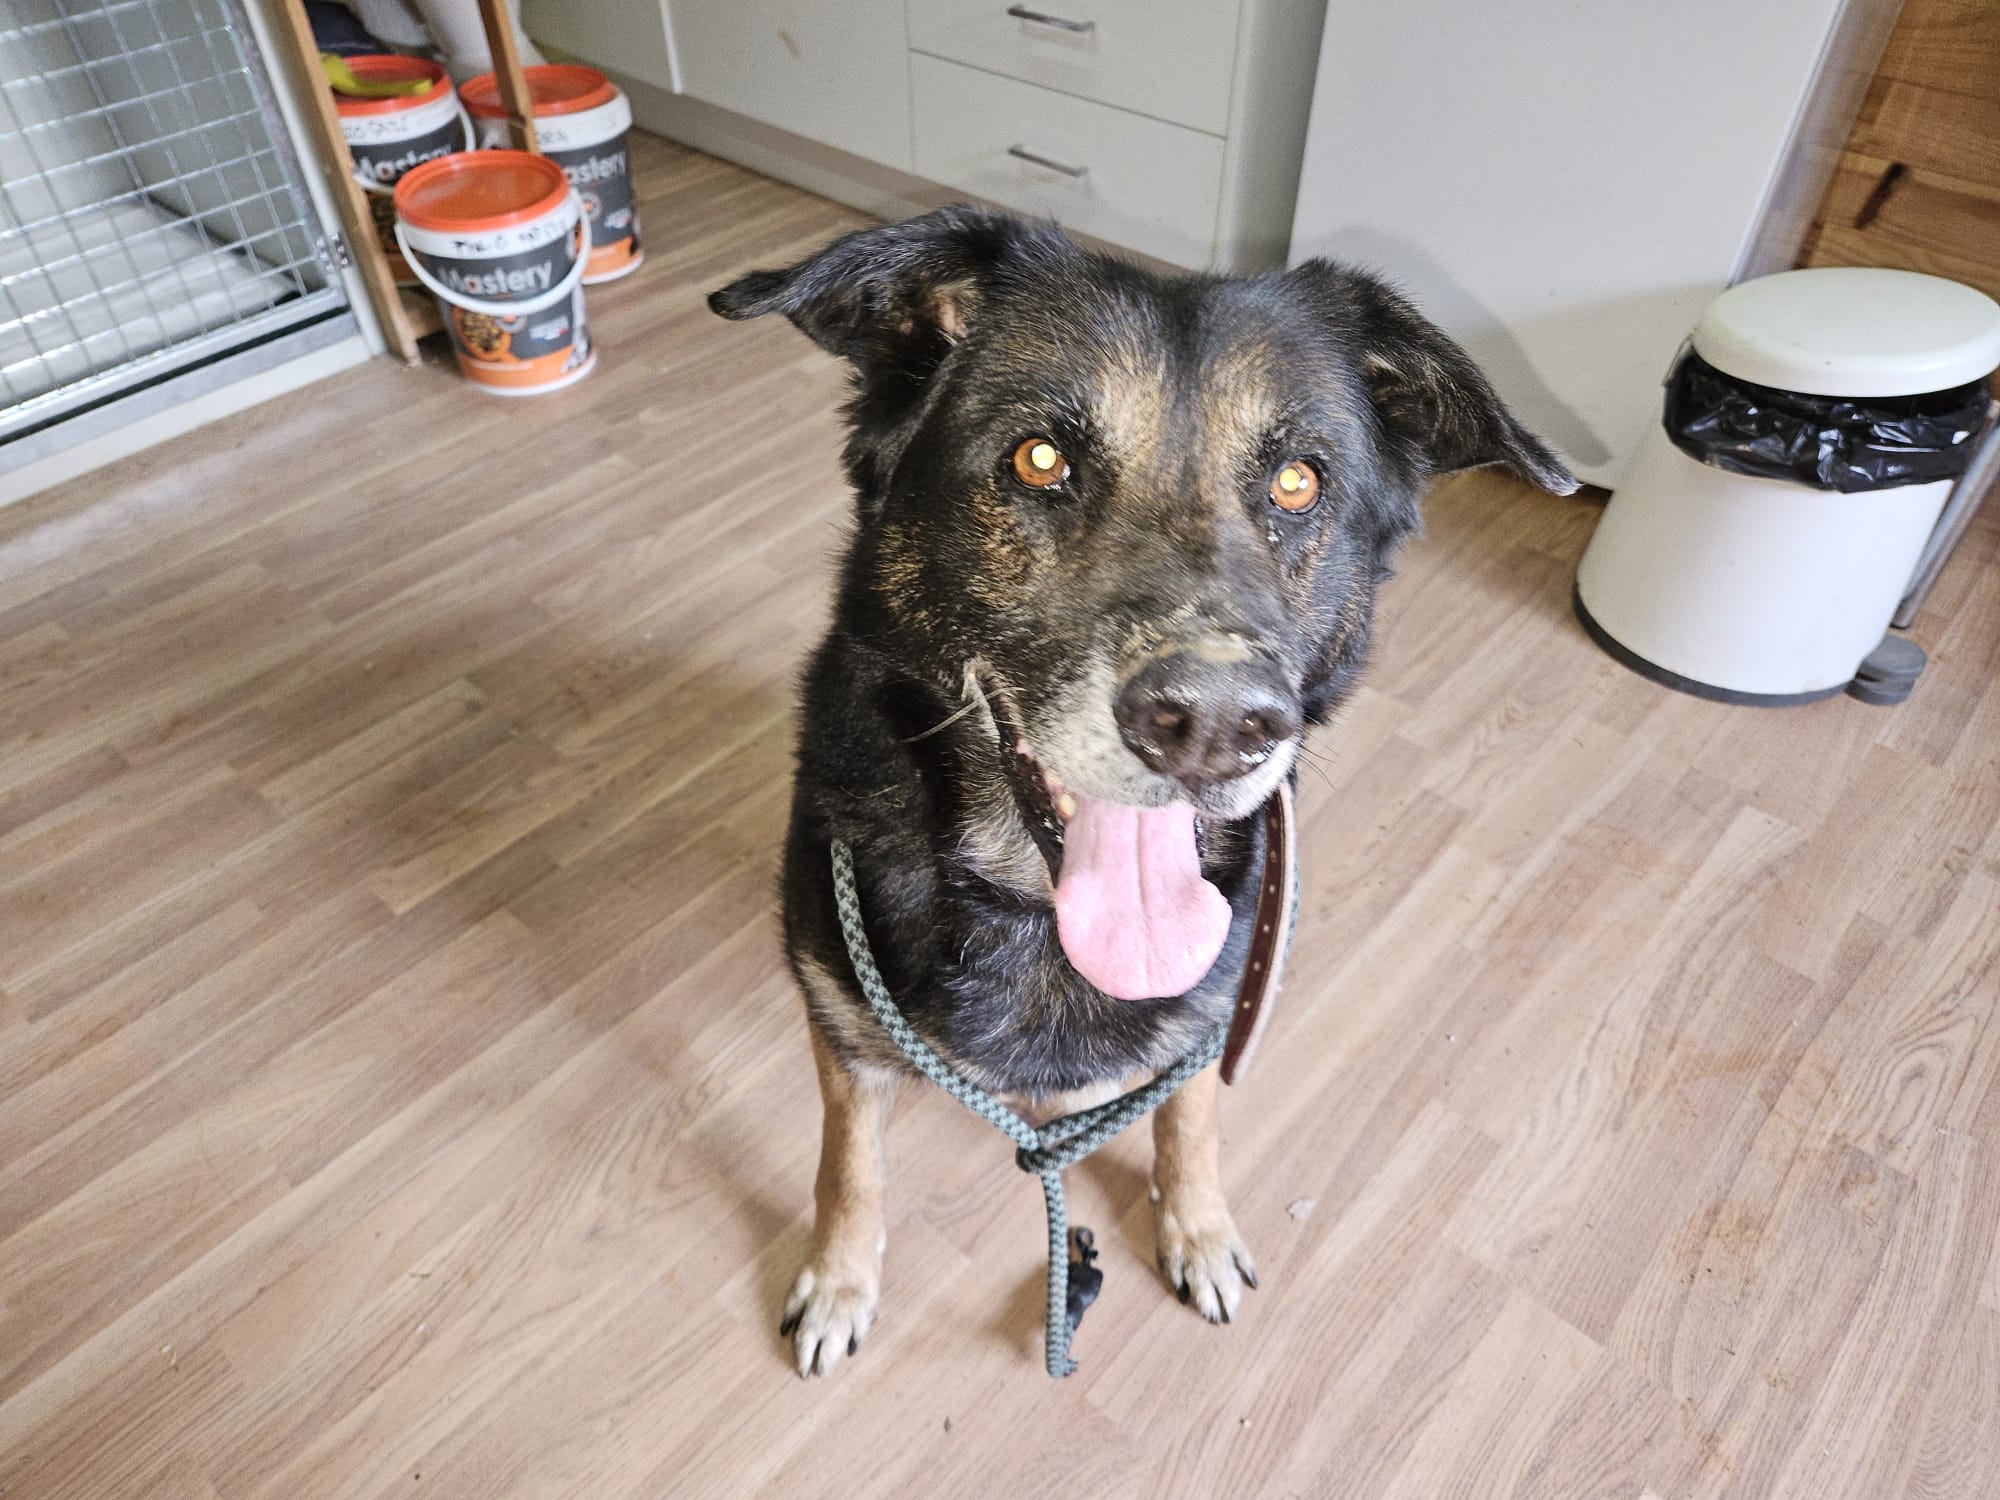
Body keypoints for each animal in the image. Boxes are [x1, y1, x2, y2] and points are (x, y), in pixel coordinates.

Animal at [710, 206, 1576, 1377]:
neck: (1035, 918)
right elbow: (848, 1163)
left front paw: (1196, 1227)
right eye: (1039, 459)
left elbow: (1189, 1119)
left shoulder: (1216, 1011)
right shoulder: (843, 1025)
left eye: (1297, 482)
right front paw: (840, 1280)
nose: (1215, 723)